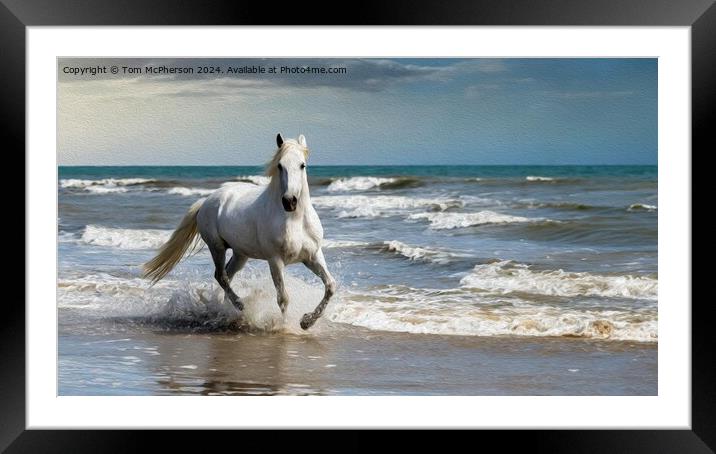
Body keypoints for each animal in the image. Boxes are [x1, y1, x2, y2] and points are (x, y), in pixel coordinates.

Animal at [145, 132, 338, 330]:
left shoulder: (312, 256)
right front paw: (285, 328)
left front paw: (306, 322)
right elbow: (283, 298)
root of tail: (206, 201)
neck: (295, 220)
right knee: (221, 276)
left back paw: (227, 311)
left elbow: (330, 286)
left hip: (240, 255)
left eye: (302, 165)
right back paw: (240, 305)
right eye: (280, 165)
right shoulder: (275, 260)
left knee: (226, 276)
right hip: (217, 247)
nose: (289, 201)